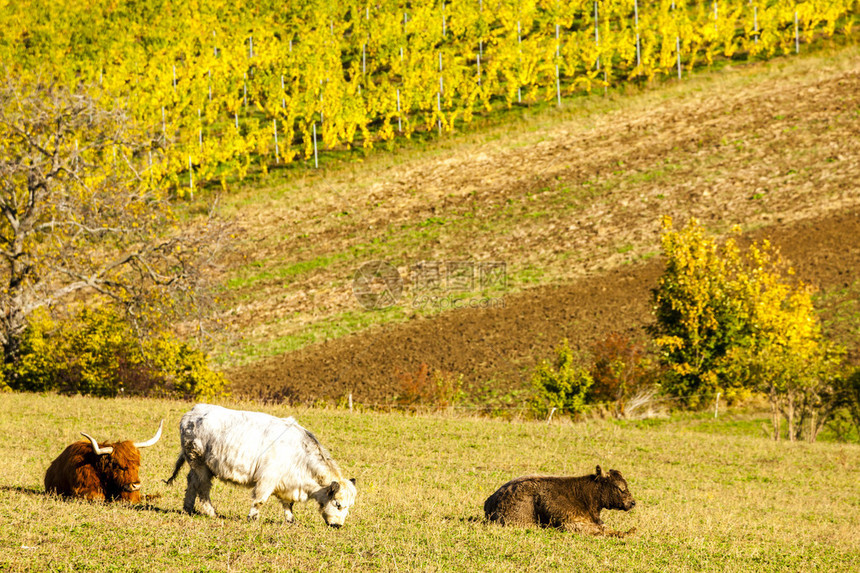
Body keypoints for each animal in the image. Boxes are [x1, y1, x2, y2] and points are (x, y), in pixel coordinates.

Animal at [165, 402, 356, 528]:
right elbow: (260, 500)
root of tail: (193, 411)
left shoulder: (286, 483)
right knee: (203, 488)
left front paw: (290, 520)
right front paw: (252, 518)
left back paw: (188, 508)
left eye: (349, 506)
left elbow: (288, 504)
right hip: (199, 463)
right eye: (338, 504)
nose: (338, 525)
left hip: (198, 465)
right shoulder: (268, 478)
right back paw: (211, 512)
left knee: (191, 483)